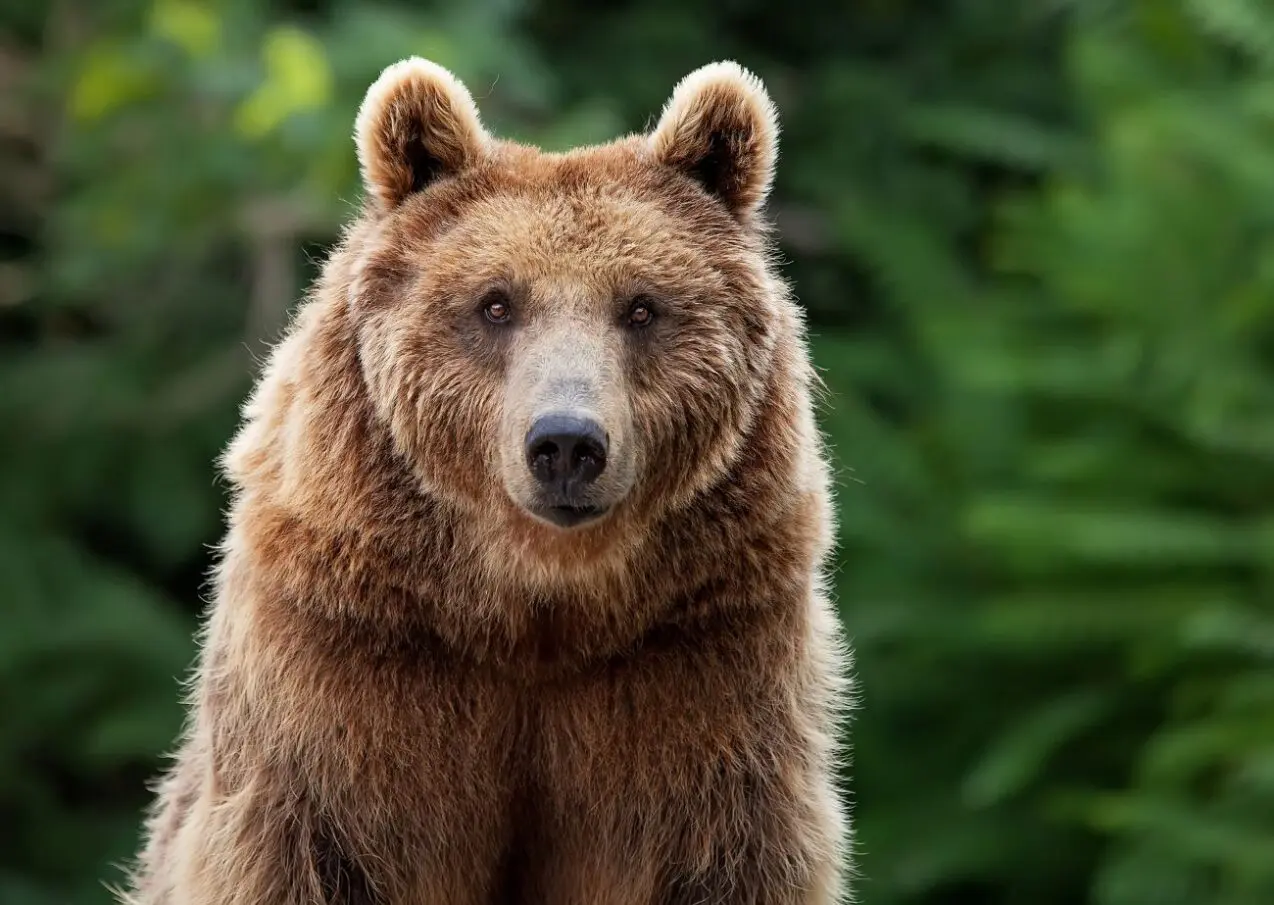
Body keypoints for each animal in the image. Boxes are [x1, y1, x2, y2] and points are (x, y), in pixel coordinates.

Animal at [119, 58, 851, 905]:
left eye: (641, 307)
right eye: (496, 303)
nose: (566, 442)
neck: (531, 604)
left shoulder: (707, 660)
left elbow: (725, 850)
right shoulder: (341, 662)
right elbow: (306, 842)